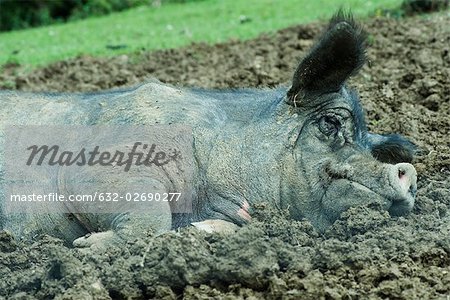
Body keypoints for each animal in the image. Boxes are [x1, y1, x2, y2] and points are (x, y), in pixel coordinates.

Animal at [0, 11, 416, 248]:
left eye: (369, 147)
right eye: (330, 123)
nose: (408, 171)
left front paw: (200, 232)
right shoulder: (99, 163)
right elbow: (150, 216)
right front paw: (83, 246)